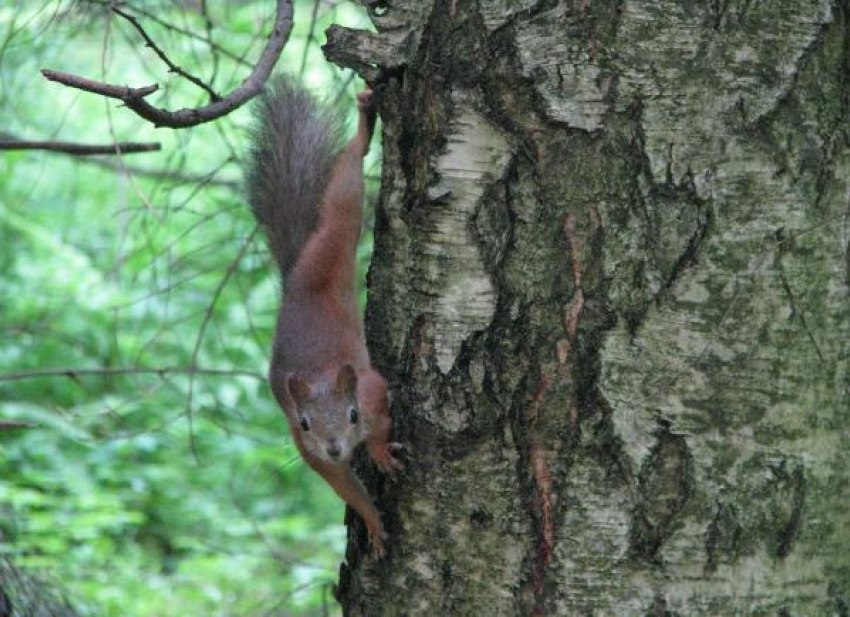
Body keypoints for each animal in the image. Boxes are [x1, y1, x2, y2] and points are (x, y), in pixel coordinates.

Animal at [245, 77, 400, 552]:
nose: (334, 447)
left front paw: (379, 452)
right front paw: (373, 522)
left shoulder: (370, 389)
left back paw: (365, 129)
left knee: (344, 196)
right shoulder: (306, 450)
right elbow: (344, 487)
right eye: (306, 423)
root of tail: (294, 278)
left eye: (351, 415)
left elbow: (380, 420)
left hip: (331, 242)